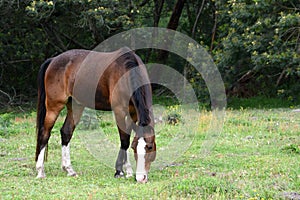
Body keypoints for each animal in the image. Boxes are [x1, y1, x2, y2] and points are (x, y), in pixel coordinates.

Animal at [34, 46, 156, 183]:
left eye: (150, 147)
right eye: (135, 148)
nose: (141, 178)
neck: (126, 71)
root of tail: (53, 60)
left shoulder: (133, 113)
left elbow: (127, 138)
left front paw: (127, 170)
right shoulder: (119, 111)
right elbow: (124, 140)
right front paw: (120, 171)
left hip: (75, 106)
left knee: (66, 132)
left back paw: (69, 170)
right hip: (54, 107)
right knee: (44, 133)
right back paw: (40, 171)